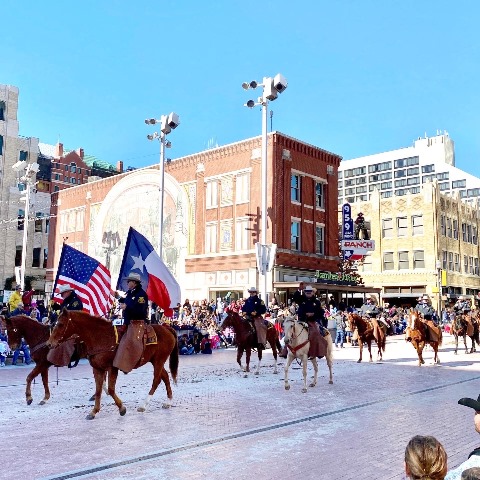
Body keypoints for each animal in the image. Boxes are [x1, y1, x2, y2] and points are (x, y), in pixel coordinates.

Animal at [46, 310, 178, 418]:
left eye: (60, 324)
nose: (49, 343)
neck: (100, 338)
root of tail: (167, 328)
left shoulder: (111, 368)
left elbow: (110, 389)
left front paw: (122, 408)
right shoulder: (97, 369)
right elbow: (98, 390)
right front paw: (94, 411)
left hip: (159, 360)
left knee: (156, 380)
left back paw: (144, 405)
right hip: (155, 361)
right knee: (165, 376)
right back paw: (168, 402)